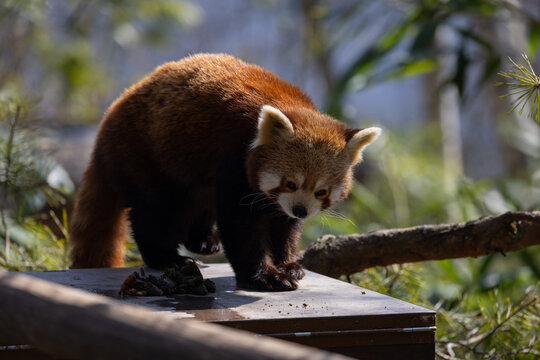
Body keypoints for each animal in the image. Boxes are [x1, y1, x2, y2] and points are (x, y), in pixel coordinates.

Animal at [69, 52, 380, 290]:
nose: (301, 210)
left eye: (321, 191)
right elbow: (241, 226)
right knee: (155, 213)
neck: (289, 106)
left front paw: (288, 264)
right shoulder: (234, 159)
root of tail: (107, 123)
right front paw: (265, 277)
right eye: (291, 183)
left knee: (198, 202)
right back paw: (168, 257)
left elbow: (284, 227)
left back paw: (204, 241)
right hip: (145, 155)